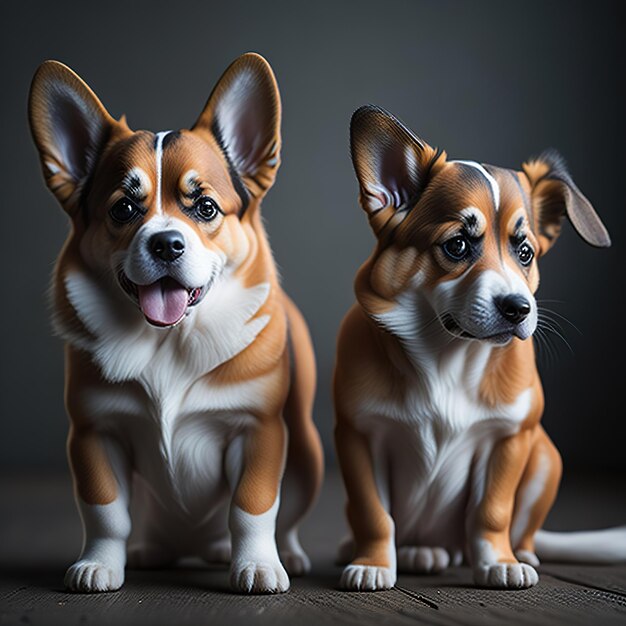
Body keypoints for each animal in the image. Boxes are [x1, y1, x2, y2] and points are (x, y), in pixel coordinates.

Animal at [28, 52, 322, 588]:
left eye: (205, 207)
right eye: (123, 209)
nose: (166, 244)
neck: (169, 340)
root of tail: (196, 544)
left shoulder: (259, 430)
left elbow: (252, 506)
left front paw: (257, 566)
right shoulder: (95, 433)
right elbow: (105, 511)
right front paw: (99, 564)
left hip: (307, 454)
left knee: (285, 516)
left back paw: (282, 554)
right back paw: (153, 549)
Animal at [334, 105, 620, 588]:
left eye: (525, 253)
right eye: (457, 245)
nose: (519, 309)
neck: (448, 357)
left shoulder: (510, 437)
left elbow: (492, 511)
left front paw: (499, 563)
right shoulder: (359, 435)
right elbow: (373, 512)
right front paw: (372, 563)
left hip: (546, 458)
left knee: (514, 531)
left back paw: (517, 553)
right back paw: (407, 551)